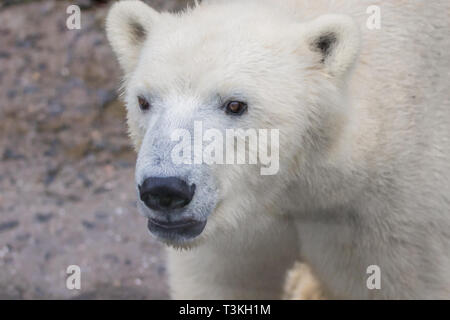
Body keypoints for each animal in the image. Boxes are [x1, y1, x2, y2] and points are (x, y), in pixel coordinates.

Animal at [106, 0, 450, 300]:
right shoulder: (234, 221)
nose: (164, 189)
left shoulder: (395, 222)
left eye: (235, 104)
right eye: (143, 100)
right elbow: (224, 279)